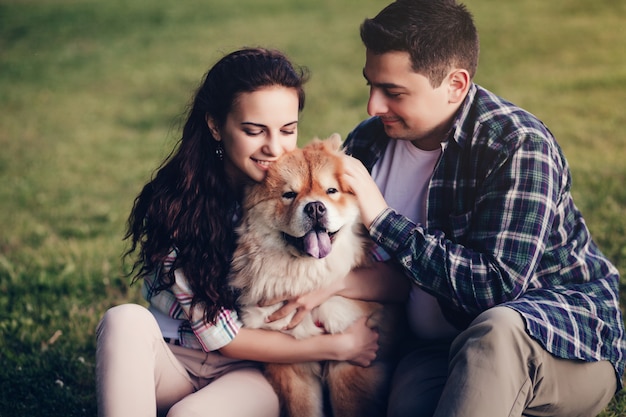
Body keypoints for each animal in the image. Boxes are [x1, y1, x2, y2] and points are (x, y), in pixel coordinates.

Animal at [229, 135, 400, 414]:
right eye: (289, 195)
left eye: (331, 191)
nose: (316, 208)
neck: (308, 278)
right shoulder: (289, 361)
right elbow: (303, 408)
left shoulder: (353, 359)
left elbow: (350, 405)